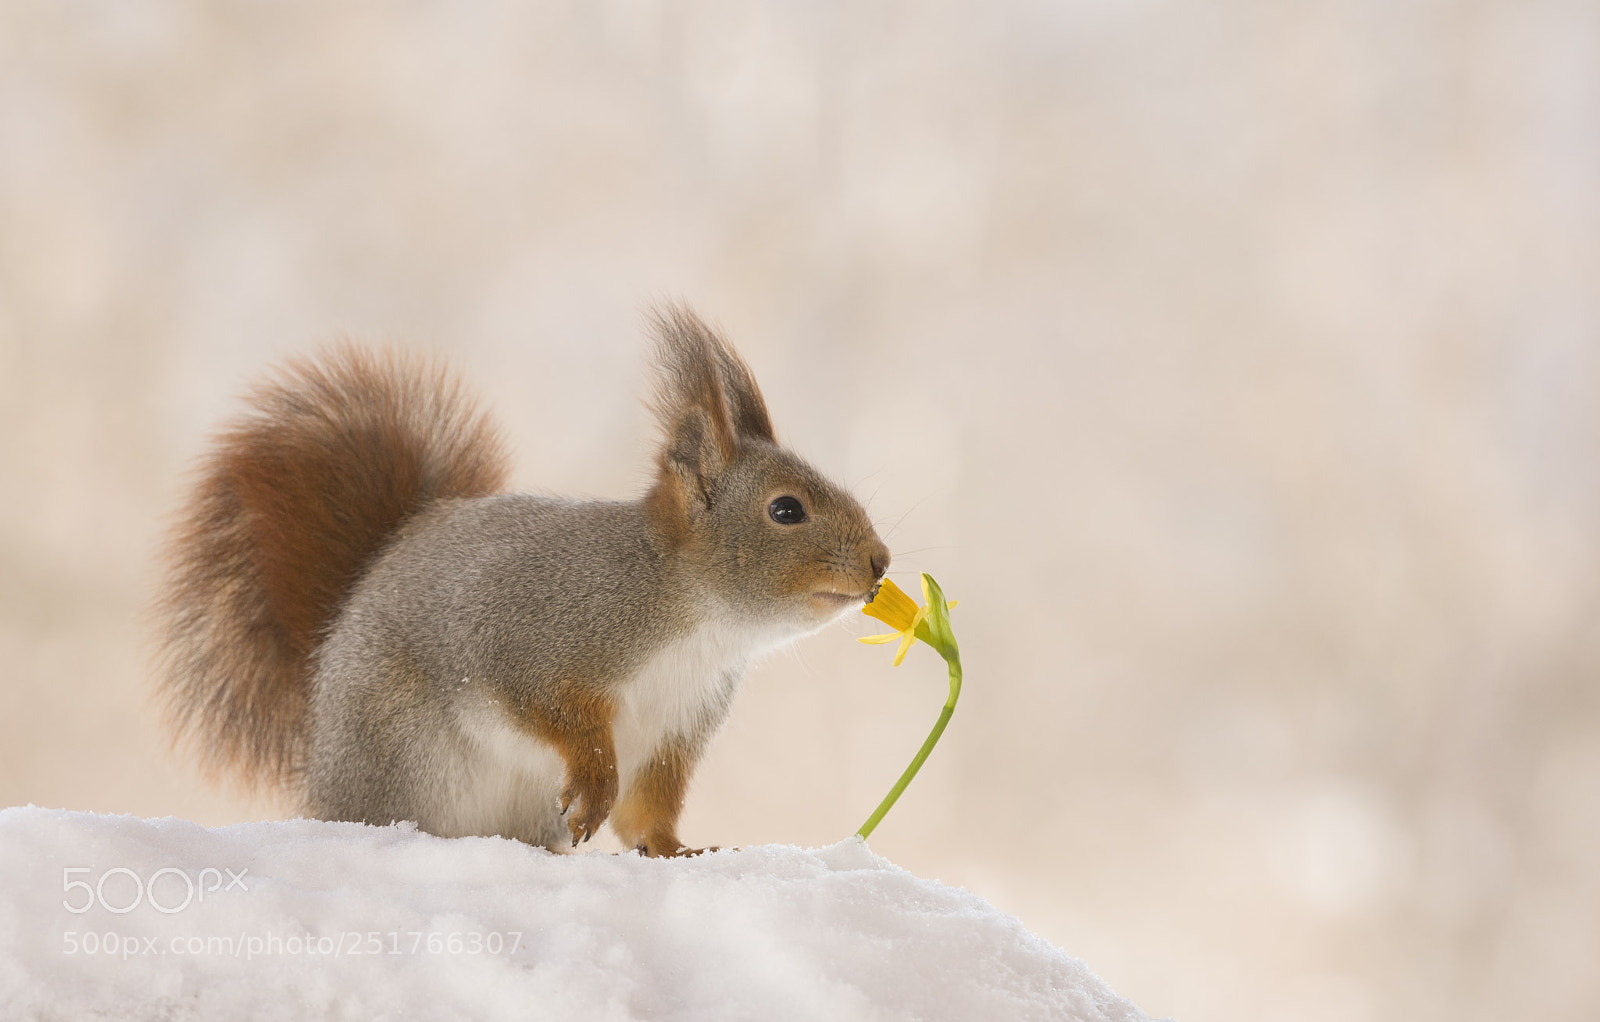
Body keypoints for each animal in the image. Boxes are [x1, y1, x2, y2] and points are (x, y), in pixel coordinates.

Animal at [153, 305, 890, 856]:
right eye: (786, 511)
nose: (881, 562)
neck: (695, 616)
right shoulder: (529, 630)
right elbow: (550, 709)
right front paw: (594, 779)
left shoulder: (678, 723)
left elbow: (647, 810)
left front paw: (679, 849)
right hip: (401, 747)